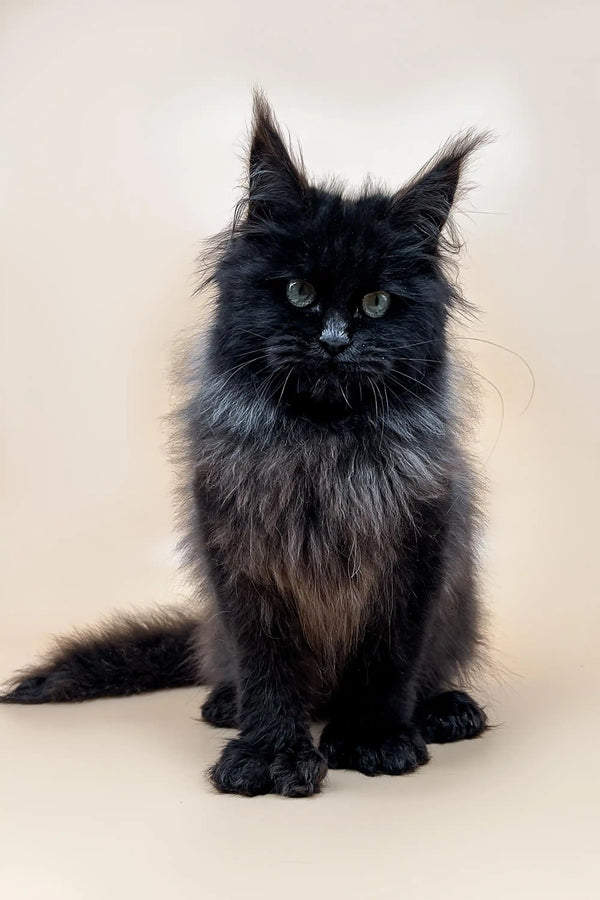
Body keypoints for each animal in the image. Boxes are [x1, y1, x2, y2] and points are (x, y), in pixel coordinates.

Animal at [2, 91, 490, 796]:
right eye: (298, 291)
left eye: (375, 303)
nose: (334, 341)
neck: (319, 444)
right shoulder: (243, 562)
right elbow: (269, 670)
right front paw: (269, 753)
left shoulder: (416, 553)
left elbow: (388, 659)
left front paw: (373, 738)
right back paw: (226, 703)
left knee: (431, 673)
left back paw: (446, 710)